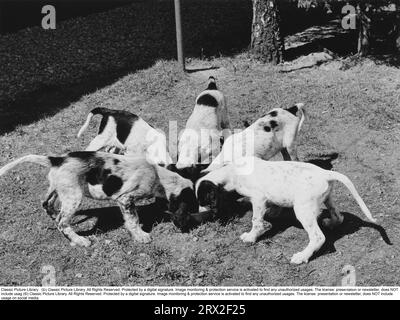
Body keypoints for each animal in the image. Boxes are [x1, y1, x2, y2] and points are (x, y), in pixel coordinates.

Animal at [0, 151, 198, 246]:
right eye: (190, 207)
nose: (189, 227)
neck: (158, 175)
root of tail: (57, 160)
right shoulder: (125, 199)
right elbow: (133, 220)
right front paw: (141, 236)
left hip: (58, 188)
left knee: (46, 204)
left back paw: (55, 215)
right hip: (74, 196)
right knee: (62, 223)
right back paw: (80, 241)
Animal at [195, 156, 376, 264]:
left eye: (203, 200)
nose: (200, 214)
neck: (232, 172)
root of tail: (325, 173)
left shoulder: (258, 198)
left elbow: (256, 221)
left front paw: (251, 237)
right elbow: (275, 205)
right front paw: (273, 213)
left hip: (303, 209)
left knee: (318, 237)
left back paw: (302, 256)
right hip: (327, 198)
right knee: (338, 216)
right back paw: (330, 223)